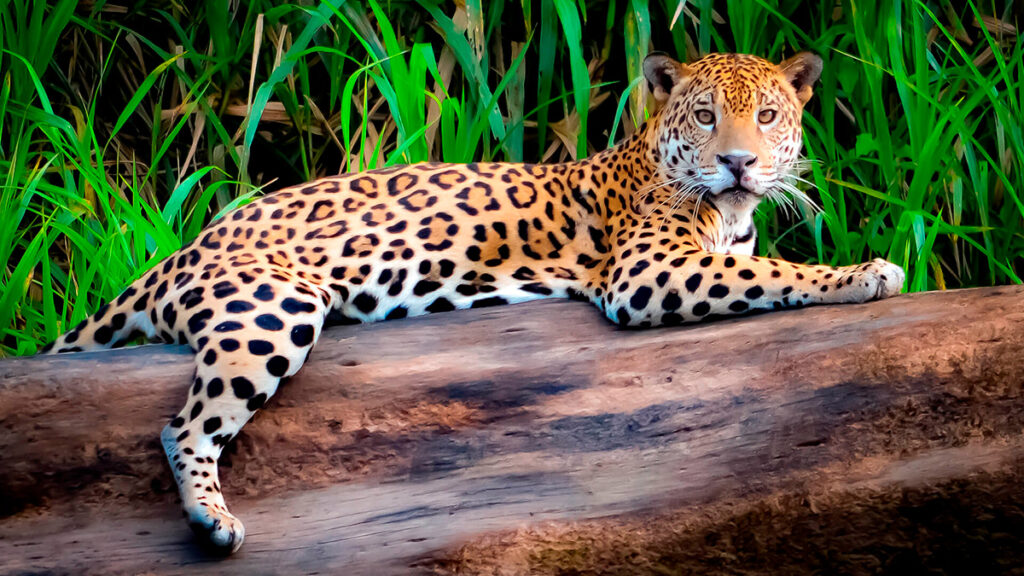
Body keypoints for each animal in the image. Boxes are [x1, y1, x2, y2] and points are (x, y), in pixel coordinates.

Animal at [40, 50, 904, 554]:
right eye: (704, 116)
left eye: (767, 115)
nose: (738, 162)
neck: (726, 212)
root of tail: (187, 246)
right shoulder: (647, 271)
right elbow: (780, 274)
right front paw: (865, 272)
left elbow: (762, 264)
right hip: (272, 306)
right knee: (183, 424)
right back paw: (212, 522)